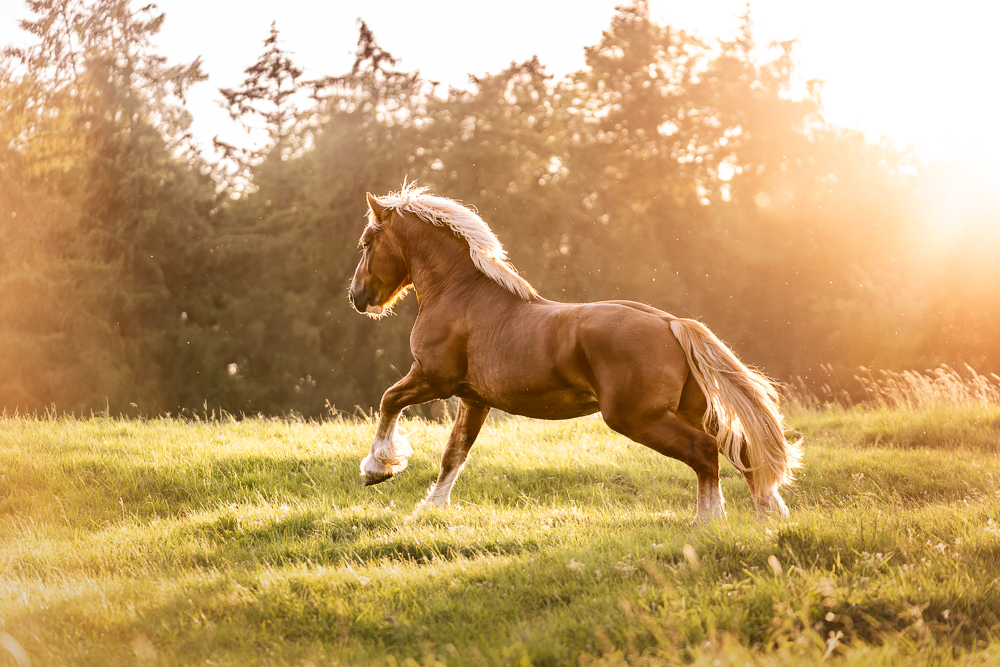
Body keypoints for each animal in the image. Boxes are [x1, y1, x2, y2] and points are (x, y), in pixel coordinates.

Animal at [348, 183, 802, 522]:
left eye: (368, 242)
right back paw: (768, 513)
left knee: (705, 452)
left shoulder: (432, 378)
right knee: (739, 449)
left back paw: (708, 520)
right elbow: (453, 453)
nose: (357, 296)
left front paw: (377, 469)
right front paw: (431, 507)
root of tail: (672, 324)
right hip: (691, 410)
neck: (461, 296)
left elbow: (389, 401)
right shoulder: (474, 399)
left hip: (637, 417)